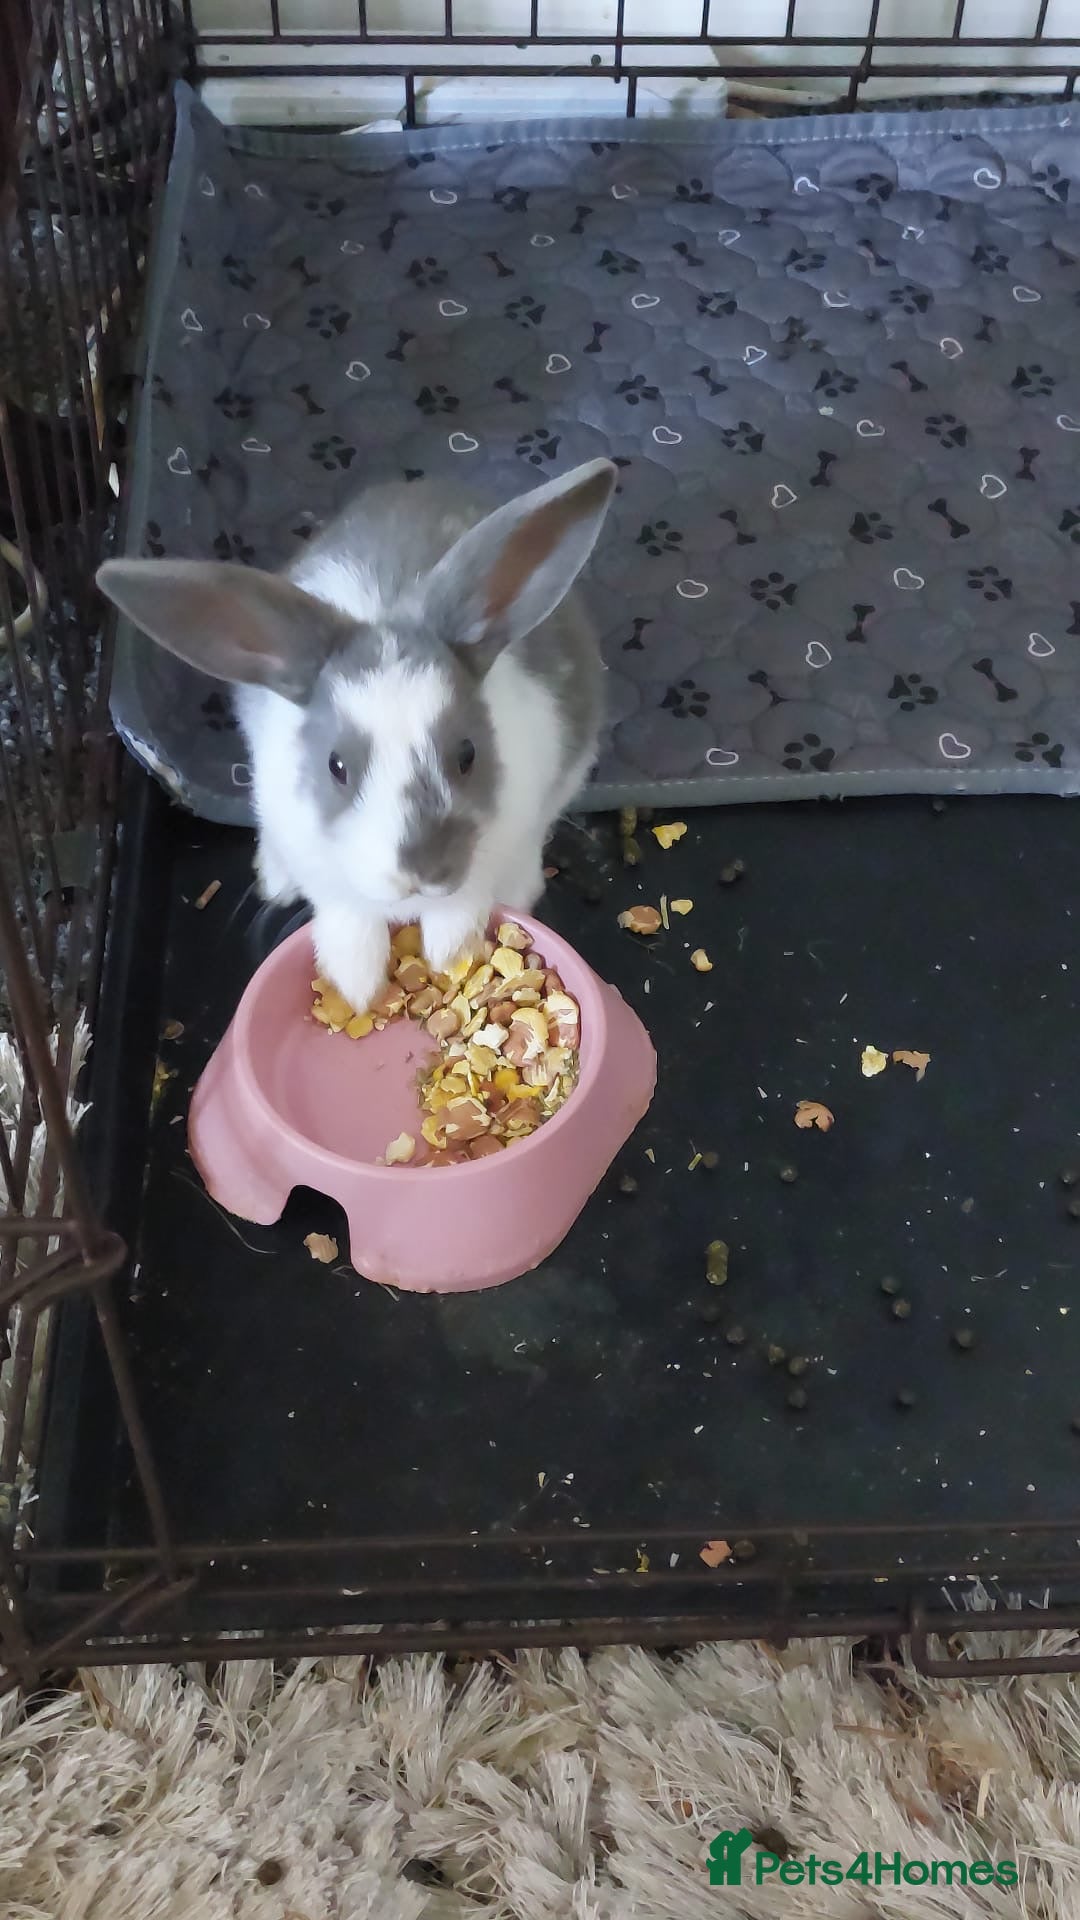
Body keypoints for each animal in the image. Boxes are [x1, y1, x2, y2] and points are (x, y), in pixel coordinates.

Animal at [97, 456, 617, 1015]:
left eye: (468, 754)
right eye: (336, 767)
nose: (423, 871)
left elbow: (463, 902)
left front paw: (447, 951)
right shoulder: (319, 862)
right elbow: (349, 917)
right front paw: (356, 983)